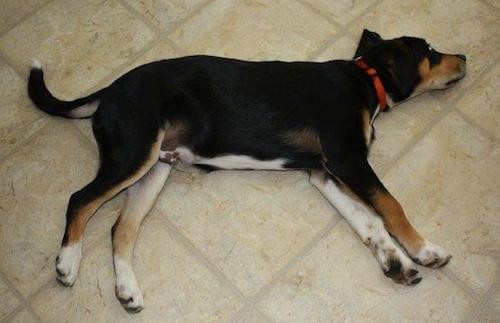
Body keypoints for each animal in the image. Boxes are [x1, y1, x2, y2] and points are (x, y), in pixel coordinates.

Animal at [27, 30, 464, 314]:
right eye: (429, 49)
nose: (465, 58)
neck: (364, 80)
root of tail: (110, 89)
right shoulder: (347, 160)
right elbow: (390, 207)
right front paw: (424, 249)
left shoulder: (323, 171)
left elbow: (368, 220)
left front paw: (396, 263)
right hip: (134, 154)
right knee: (80, 200)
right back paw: (67, 262)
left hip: (154, 168)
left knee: (122, 229)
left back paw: (127, 290)